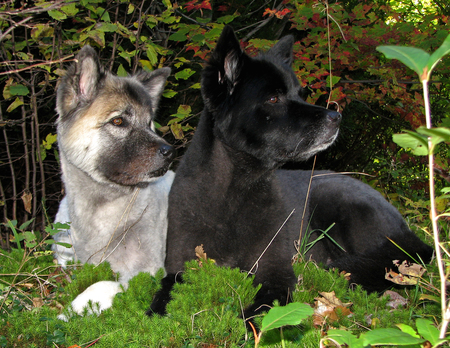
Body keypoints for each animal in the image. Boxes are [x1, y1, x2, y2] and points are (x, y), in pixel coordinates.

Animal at [149, 26, 434, 318]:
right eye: (273, 98)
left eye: (299, 94)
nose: (336, 117)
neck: (236, 191)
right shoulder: (180, 267)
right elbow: (160, 301)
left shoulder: (276, 270)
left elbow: (262, 312)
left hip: (335, 199)